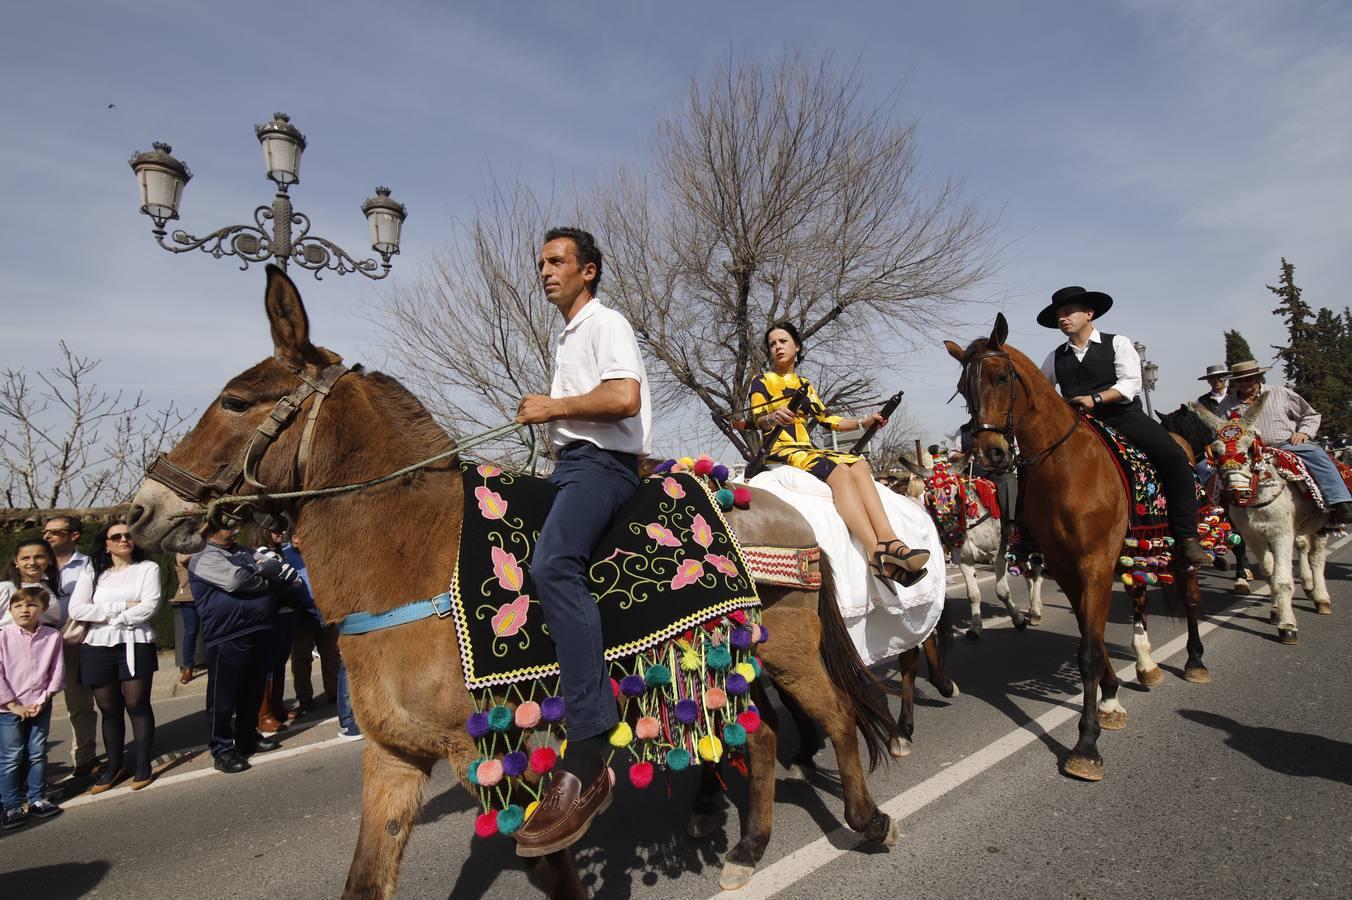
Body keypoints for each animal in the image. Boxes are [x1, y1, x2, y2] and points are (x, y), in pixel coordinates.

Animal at [127, 264, 903, 891]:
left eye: (236, 401)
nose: (143, 509)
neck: (412, 556)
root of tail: (783, 504)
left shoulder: (492, 757)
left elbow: (553, 870)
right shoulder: (392, 758)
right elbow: (366, 878)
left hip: (790, 647)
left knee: (835, 717)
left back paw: (867, 820)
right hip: (727, 655)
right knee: (763, 737)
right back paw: (747, 844)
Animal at [940, 313, 1216, 778]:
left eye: (1001, 377)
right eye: (963, 388)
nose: (991, 453)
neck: (1064, 465)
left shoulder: (1094, 561)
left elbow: (1089, 649)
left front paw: (1086, 743)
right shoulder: (1067, 565)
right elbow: (1093, 635)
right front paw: (1111, 698)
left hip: (1177, 546)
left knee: (1191, 595)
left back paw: (1194, 660)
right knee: (1140, 597)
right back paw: (1146, 667)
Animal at [1195, 400, 1330, 645]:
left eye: (1250, 449)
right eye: (1216, 452)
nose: (1238, 493)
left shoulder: (1281, 534)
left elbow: (1282, 579)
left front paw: (1287, 626)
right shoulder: (1254, 537)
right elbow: (1270, 573)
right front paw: (1276, 611)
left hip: (1321, 524)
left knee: (1316, 557)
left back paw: (1321, 597)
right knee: (1303, 547)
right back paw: (1307, 584)